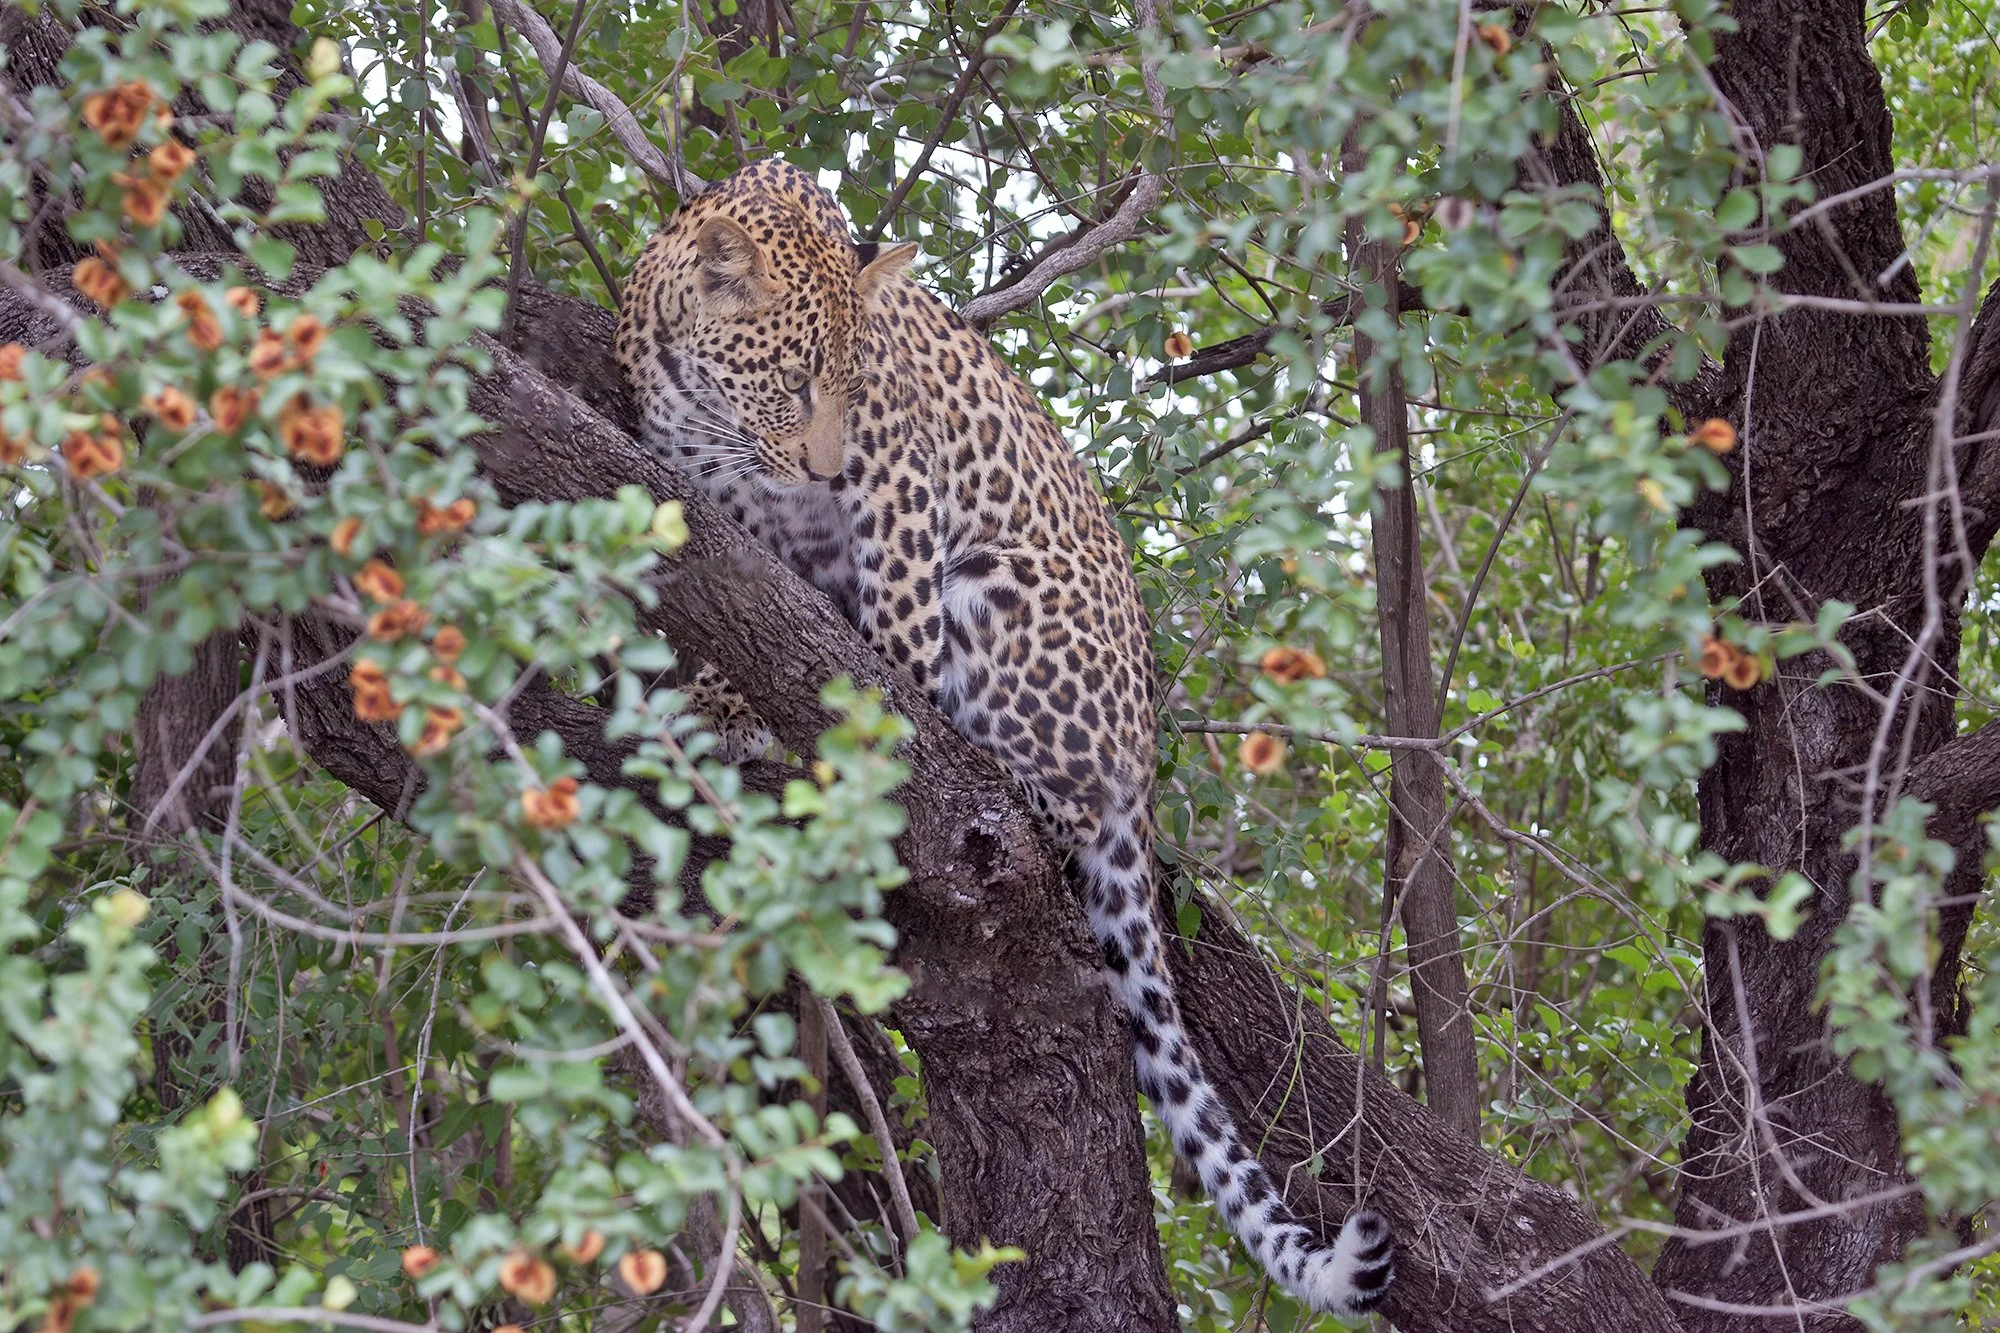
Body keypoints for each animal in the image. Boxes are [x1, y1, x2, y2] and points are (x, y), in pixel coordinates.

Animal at [613, 160, 1394, 1317]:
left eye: (855, 383)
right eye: (793, 379)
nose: (822, 469)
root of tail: (1141, 766)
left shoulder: (897, 484)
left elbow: (885, 632)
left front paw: (859, 720)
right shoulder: (717, 500)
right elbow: (735, 601)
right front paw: (724, 703)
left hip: (1002, 594)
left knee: (1052, 796)